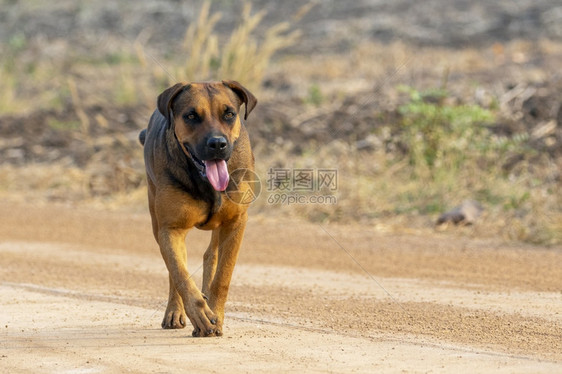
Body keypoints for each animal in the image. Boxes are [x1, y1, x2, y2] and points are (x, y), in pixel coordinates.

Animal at [138, 80, 256, 338]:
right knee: (174, 269)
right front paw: (200, 315)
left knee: (211, 254)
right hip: (155, 217)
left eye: (229, 114)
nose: (217, 144)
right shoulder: (170, 228)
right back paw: (175, 311)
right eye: (191, 115)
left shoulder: (236, 222)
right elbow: (180, 273)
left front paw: (216, 315)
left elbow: (223, 276)